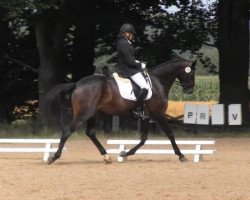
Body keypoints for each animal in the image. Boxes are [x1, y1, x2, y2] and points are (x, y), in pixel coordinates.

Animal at [46, 59, 196, 164]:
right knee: (67, 131)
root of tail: (77, 84)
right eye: (192, 73)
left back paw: (106, 156)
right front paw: (181, 155)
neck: (157, 83)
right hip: (83, 115)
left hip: (94, 114)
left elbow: (143, 139)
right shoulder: (159, 114)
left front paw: (125, 154)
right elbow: (170, 134)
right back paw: (54, 157)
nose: (190, 90)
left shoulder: (147, 117)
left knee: (91, 133)